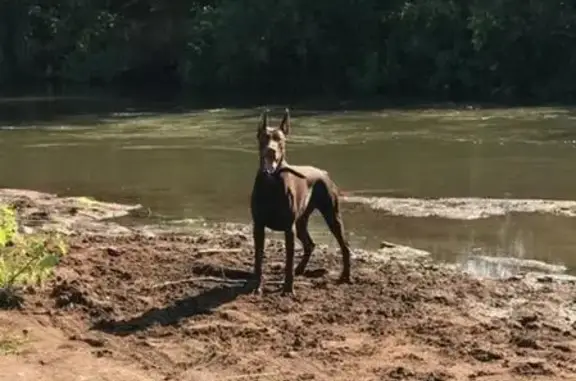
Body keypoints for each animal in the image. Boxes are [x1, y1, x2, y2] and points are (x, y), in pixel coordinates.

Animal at [251, 108, 354, 296]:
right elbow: (258, 259)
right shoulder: (258, 226)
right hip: (302, 220)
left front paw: (288, 288)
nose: (271, 151)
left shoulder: (288, 228)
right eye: (264, 138)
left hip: (332, 215)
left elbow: (288, 260)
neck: (271, 183)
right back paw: (300, 269)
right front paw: (257, 286)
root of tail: (323, 172)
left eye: (280, 140)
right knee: (310, 244)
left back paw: (345, 276)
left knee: (345, 246)